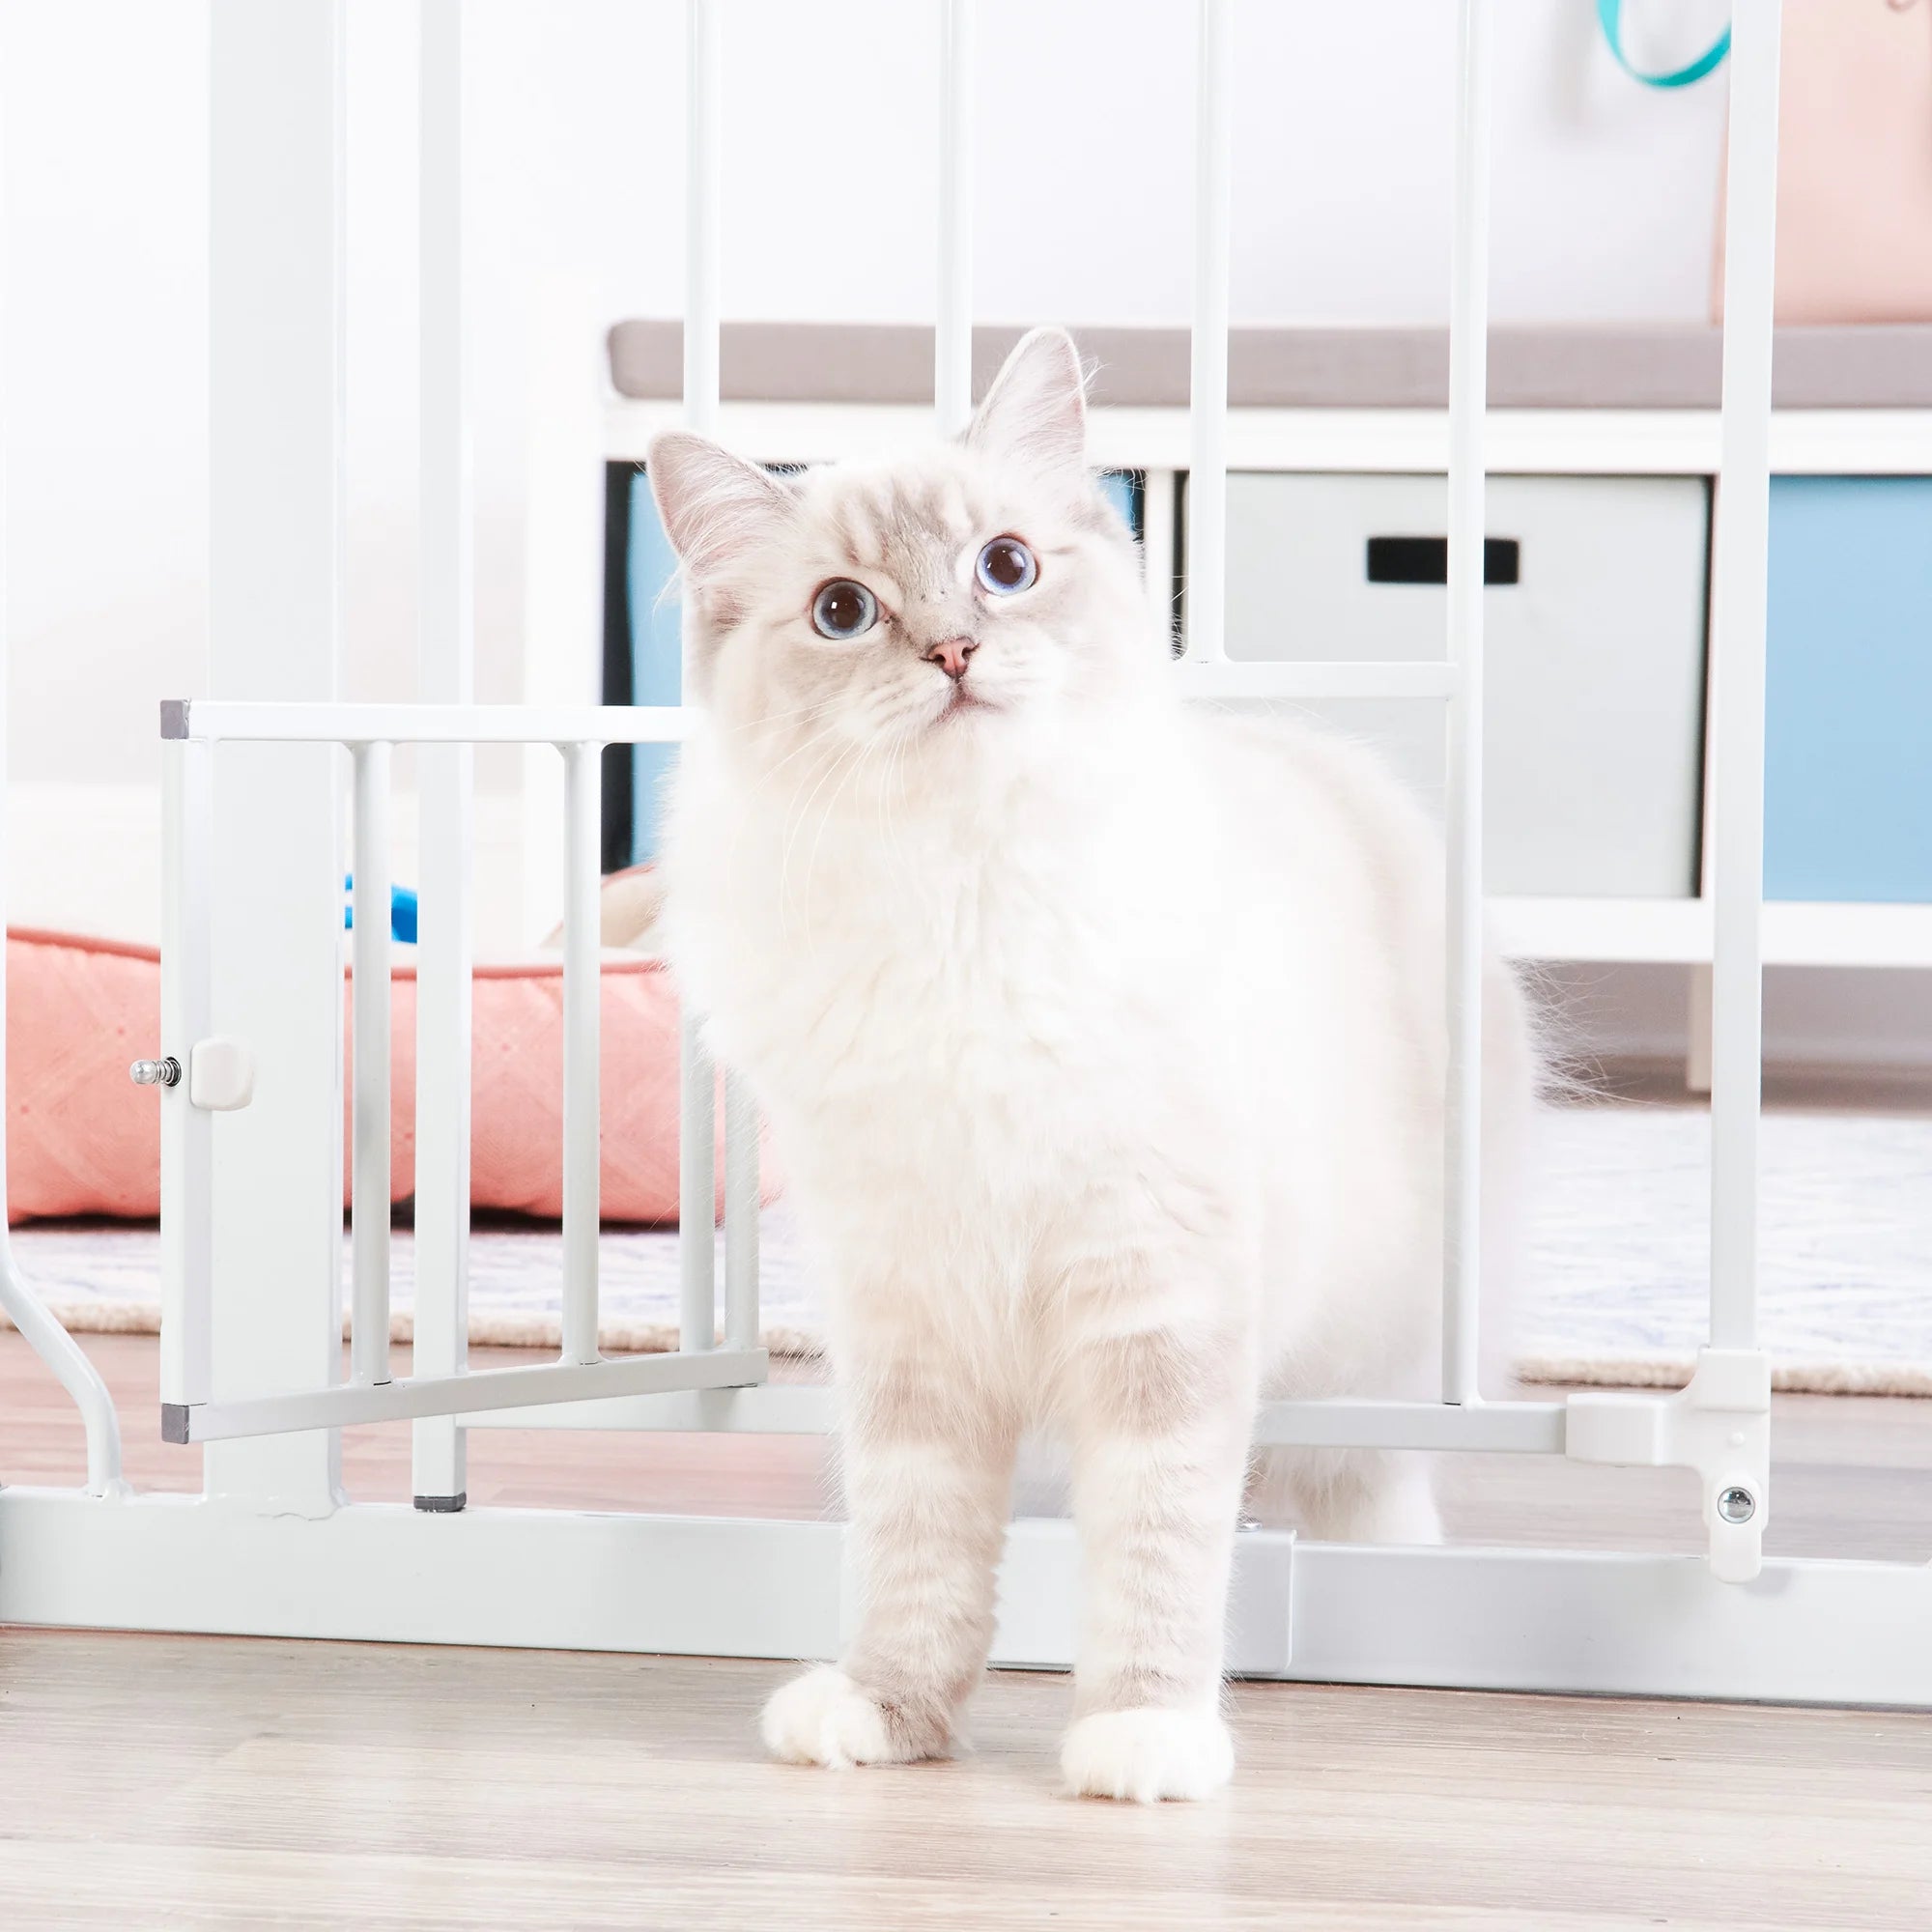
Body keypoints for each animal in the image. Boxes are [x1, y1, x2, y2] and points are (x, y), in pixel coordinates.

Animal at [649, 328, 1538, 1793]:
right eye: (842, 612)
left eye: (1006, 567)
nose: (955, 650)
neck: (961, 898)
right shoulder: (914, 1322)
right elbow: (916, 1554)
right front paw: (889, 1714)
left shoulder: (1157, 1301)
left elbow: (1158, 1552)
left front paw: (1145, 1738)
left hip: (1376, 1346)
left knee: (1362, 1480)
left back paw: (1389, 1570)